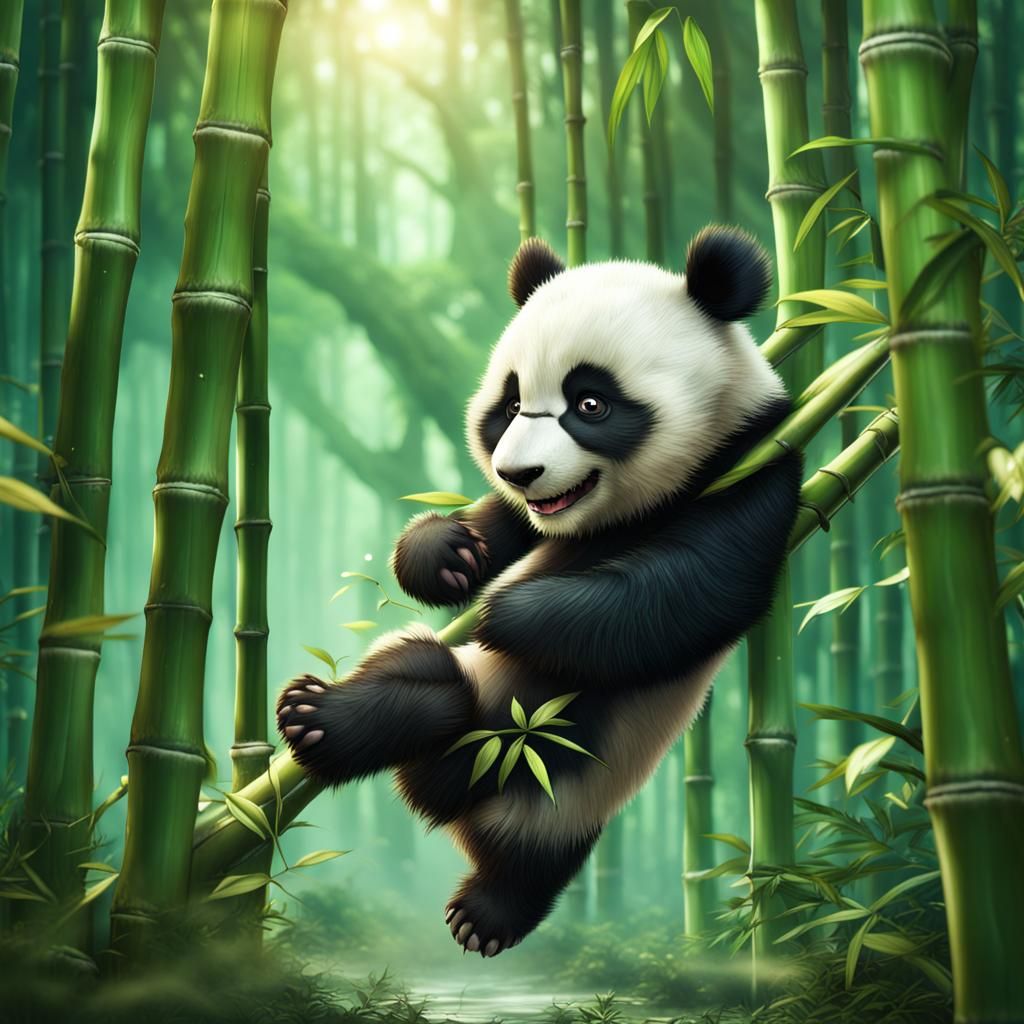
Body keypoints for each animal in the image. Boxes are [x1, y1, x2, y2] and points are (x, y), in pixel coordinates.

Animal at [276, 225, 802, 958]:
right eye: (511, 405)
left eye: (590, 403)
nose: (518, 472)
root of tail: (451, 805)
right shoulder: (529, 520)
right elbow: (489, 531)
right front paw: (449, 557)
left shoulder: (755, 467)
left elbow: (686, 594)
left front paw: (504, 614)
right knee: (423, 674)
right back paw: (320, 713)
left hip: (555, 790)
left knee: (531, 854)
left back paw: (484, 914)